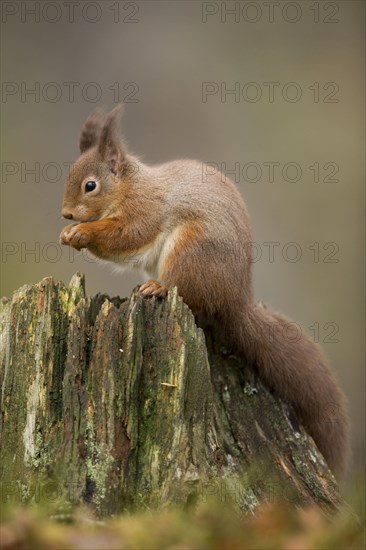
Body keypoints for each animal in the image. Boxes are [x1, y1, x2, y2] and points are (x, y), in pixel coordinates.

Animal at [60, 104, 348, 478]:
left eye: (90, 185)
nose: (66, 214)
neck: (130, 186)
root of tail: (235, 300)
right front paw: (69, 234)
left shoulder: (145, 210)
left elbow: (126, 236)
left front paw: (82, 233)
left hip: (190, 252)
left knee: (188, 294)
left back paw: (158, 287)